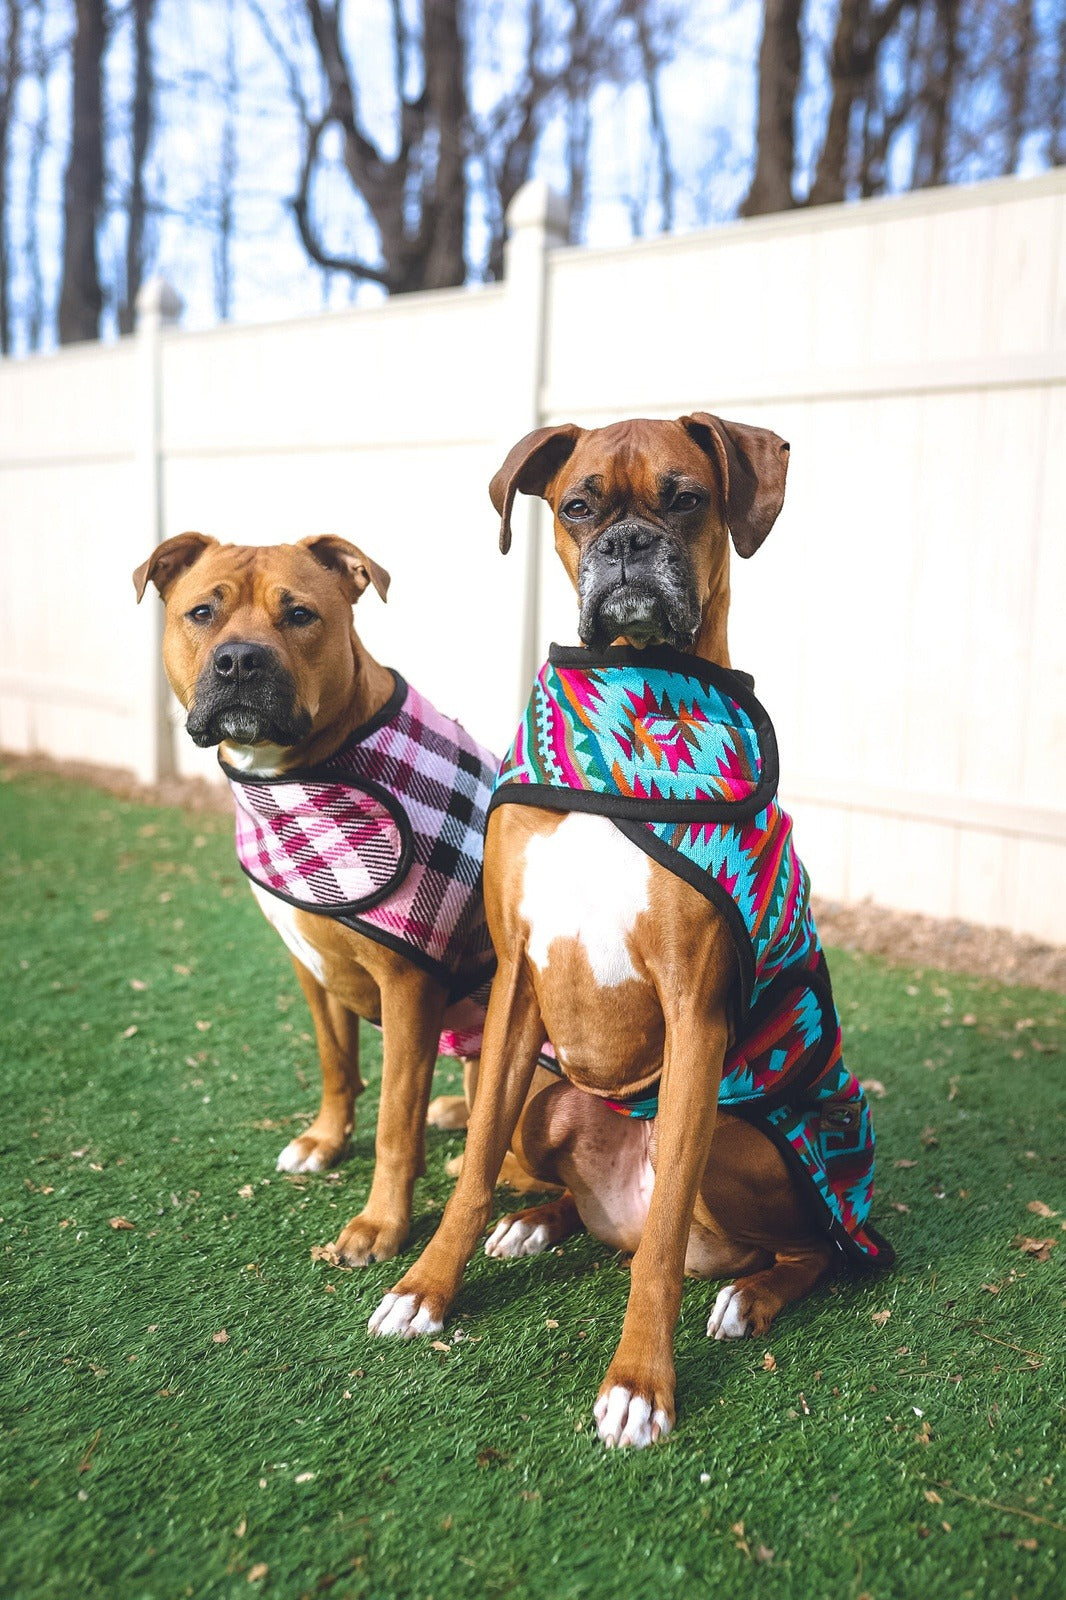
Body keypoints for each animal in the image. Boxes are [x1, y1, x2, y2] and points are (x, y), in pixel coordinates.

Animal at [130, 534, 499, 1260]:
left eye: (300, 615)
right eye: (202, 612)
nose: (239, 661)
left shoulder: (408, 986)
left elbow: (394, 1120)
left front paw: (381, 1223)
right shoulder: (312, 966)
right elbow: (336, 1062)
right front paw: (325, 1141)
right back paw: (453, 1112)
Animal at [368, 416, 889, 1452]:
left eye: (686, 499)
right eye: (579, 506)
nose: (628, 547)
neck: (632, 698)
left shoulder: (696, 1017)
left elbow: (659, 1245)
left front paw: (641, 1382)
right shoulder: (518, 988)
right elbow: (473, 1165)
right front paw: (428, 1287)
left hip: (743, 1138)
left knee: (797, 1246)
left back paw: (750, 1297)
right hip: (548, 1096)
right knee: (565, 1185)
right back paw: (541, 1220)